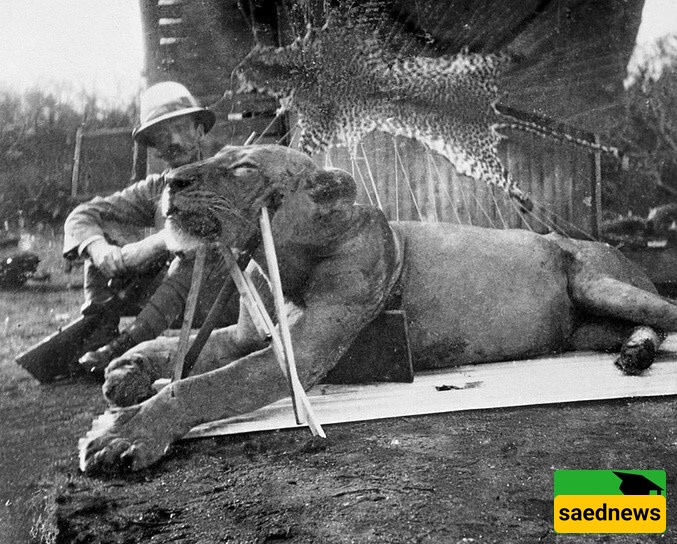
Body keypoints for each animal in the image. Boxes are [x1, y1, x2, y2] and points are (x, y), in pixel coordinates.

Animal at [79, 144, 677, 474]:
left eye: (244, 168)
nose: (170, 180)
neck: (284, 260)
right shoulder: (249, 335)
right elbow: (177, 353)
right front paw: (126, 369)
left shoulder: (306, 349)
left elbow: (204, 385)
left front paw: (123, 434)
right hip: (586, 328)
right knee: (643, 327)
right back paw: (633, 355)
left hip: (598, 284)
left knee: (668, 311)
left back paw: (640, 352)